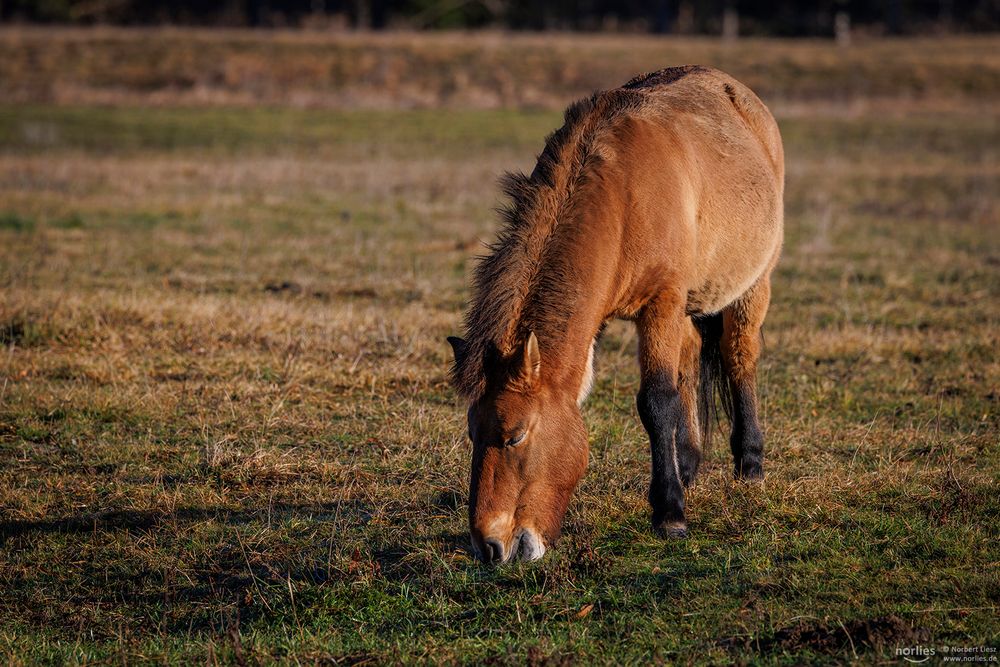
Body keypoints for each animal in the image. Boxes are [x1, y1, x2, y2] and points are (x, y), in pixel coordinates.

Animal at [446, 66, 780, 564]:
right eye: (473, 434)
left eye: (515, 436)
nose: (489, 547)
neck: (623, 196)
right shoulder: (624, 313)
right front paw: (676, 486)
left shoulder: (660, 304)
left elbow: (657, 400)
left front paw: (670, 515)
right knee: (691, 357)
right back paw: (688, 466)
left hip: (753, 285)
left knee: (738, 355)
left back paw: (750, 465)